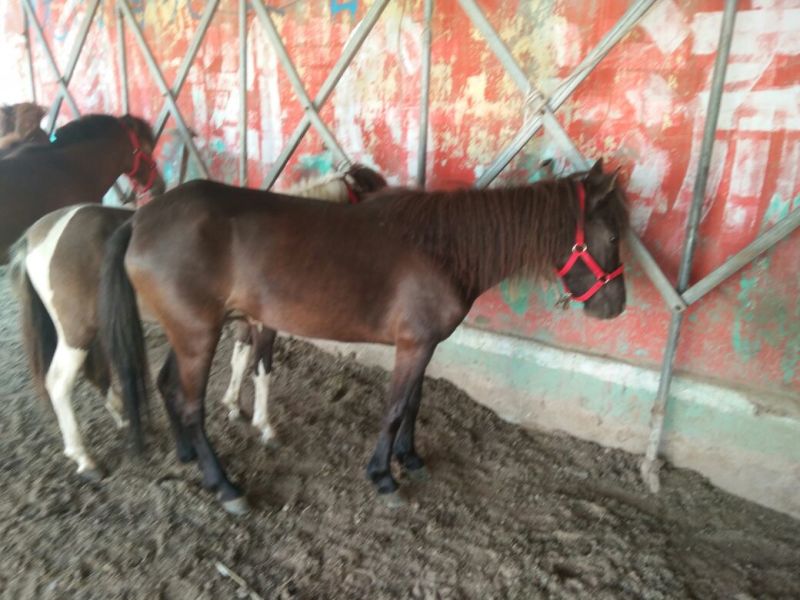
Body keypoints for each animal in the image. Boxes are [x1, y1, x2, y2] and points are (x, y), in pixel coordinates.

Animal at [9, 165, 386, 479]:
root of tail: (36, 236)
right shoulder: (264, 324)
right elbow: (262, 371)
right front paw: (265, 425)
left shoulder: (241, 320)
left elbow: (238, 360)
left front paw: (233, 405)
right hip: (76, 331)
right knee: (59, 383)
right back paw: (84, 458)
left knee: (97, 373)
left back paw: (122, 418)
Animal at [97, 159, 628, 514]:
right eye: (615, 235)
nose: (615, 306)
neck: (444, 248)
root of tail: (139, 219)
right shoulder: (414, 346)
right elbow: (394, 408)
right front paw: (383, 476)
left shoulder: (423, 346)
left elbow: (412, 403)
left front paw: (409, 457)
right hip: (198, 334)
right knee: (190, 405)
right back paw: (225, 486)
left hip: (190, 332)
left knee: (169, 386)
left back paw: (189, 457)